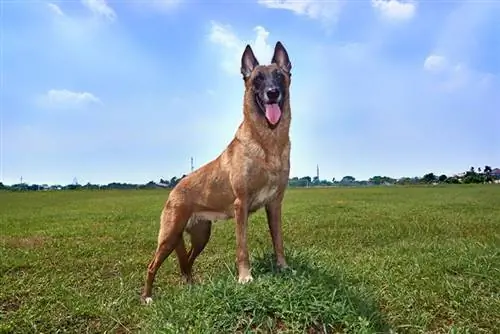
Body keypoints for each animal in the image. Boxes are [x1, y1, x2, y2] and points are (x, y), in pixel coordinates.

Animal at [141, 40, 292, 304]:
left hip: (201, 236)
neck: (268, 143)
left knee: (186, 263)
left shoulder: (274, 204)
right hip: (169, 236)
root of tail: (174, 190)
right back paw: (148, 297)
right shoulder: (241, 204)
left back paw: (191, 287)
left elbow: (278, 240)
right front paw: (245, 277)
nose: (273, 92)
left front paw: (282, 267)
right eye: (258, 79)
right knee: (152, 266)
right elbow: (242, 247)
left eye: (279, 76)